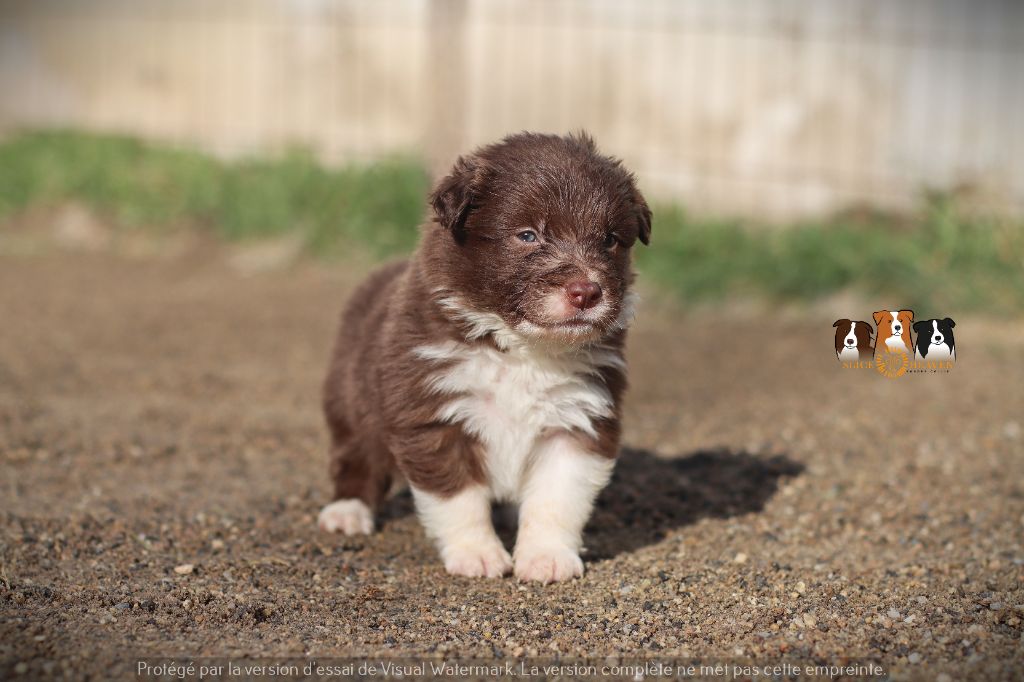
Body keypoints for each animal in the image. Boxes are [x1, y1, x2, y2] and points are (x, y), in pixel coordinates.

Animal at [315, 135, 651, 581]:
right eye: (528, 235)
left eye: (610, 239)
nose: (586, 292)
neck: (523, 350)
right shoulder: (435, 414)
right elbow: (460, 499)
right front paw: (478, 554)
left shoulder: (579, 419)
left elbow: (557, 499)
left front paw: (547, 558)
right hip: (351, 396)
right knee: (357, 455)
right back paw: (347, 511)